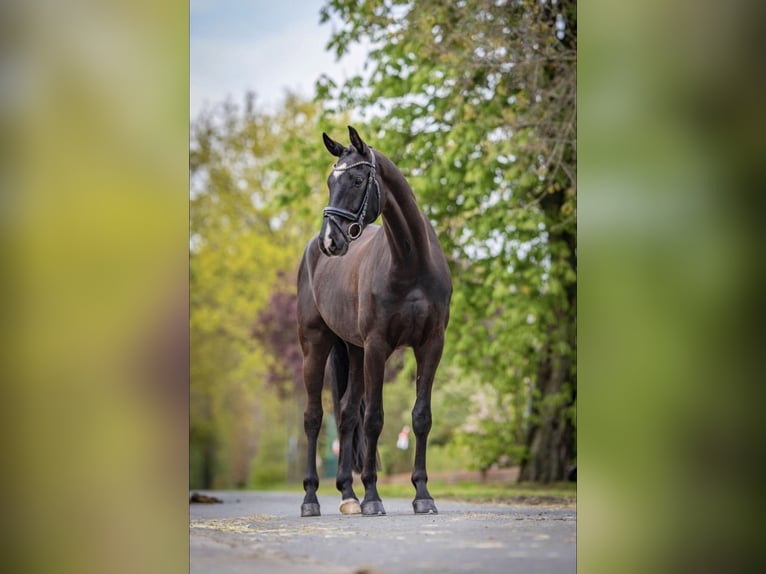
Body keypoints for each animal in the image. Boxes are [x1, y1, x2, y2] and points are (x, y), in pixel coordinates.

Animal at [296, 127, 452, 516]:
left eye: (355, 179)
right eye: (329, 181)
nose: (330, 241)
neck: (411, 262)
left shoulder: (431, 344)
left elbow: (420, 416)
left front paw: (422, 494)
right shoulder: (378, 346)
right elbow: (375, 420)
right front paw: (372, 496)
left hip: (353, 350)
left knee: (347, 413)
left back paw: (347, 495)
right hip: (315, 345)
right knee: (314, 417)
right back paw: (311, 499)